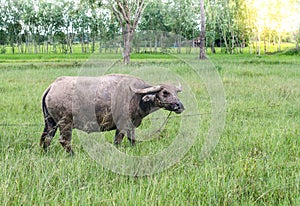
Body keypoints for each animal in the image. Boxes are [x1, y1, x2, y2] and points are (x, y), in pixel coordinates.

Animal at [39, 73, 185, 153]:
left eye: (176, 92)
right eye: (165, 92)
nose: (180, 106)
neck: (136, 97)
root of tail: (52, 87)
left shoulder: (131, 124)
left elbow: (132, 139)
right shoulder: (122, 125)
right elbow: (118, 141)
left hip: (50, 122)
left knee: (46, 138)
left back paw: (46, 153)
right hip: (65, 123)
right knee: (64, 141)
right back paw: (72, 155)